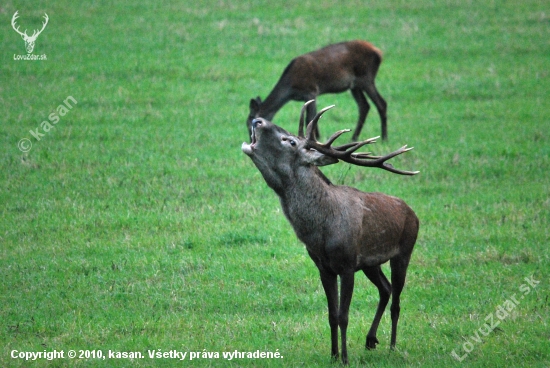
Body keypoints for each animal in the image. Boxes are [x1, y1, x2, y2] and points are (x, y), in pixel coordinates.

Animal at [244, 100, 420, 366]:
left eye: (290, 141)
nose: (257, 120)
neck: (320, 232)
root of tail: (413, 213)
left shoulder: (347, 265)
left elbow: (344, 315)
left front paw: (345, 358)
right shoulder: (324, 267)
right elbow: (331, 314)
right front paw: (333, 354)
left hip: (404, 250)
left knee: (397, 301)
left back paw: (391, 346)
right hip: (370, 263)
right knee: (385, 289)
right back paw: (370, 339)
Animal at [248, 40, 390, 141]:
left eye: (249, 122)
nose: (251, 140)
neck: (290, 89)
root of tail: (379, 53)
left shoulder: (311, 91)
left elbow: (310, 118)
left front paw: (316, 138)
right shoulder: (307, 96)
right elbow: (312, 117)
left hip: (366, 77)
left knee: (381, 103)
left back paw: (384, 138)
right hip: (355, 85)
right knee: (364, 106)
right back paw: (354, 138)